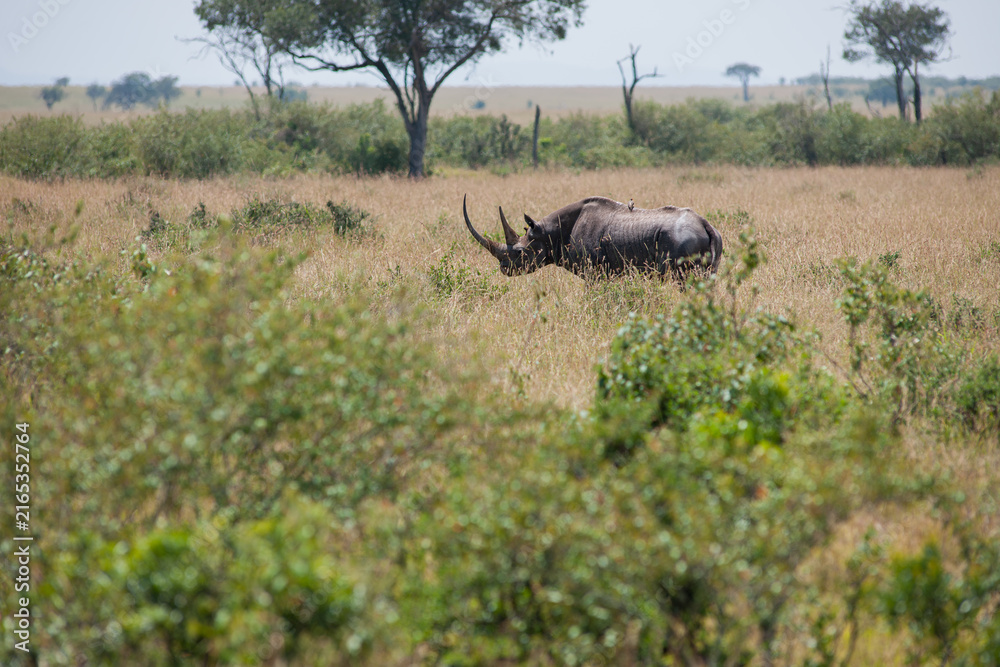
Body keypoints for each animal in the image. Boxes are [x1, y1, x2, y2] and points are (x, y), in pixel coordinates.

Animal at [463, 195, 723, 280]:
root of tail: (706, 224)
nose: (504, 269)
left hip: (681, 240)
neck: (547, 232)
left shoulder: (593, 271)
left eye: (519, 252)